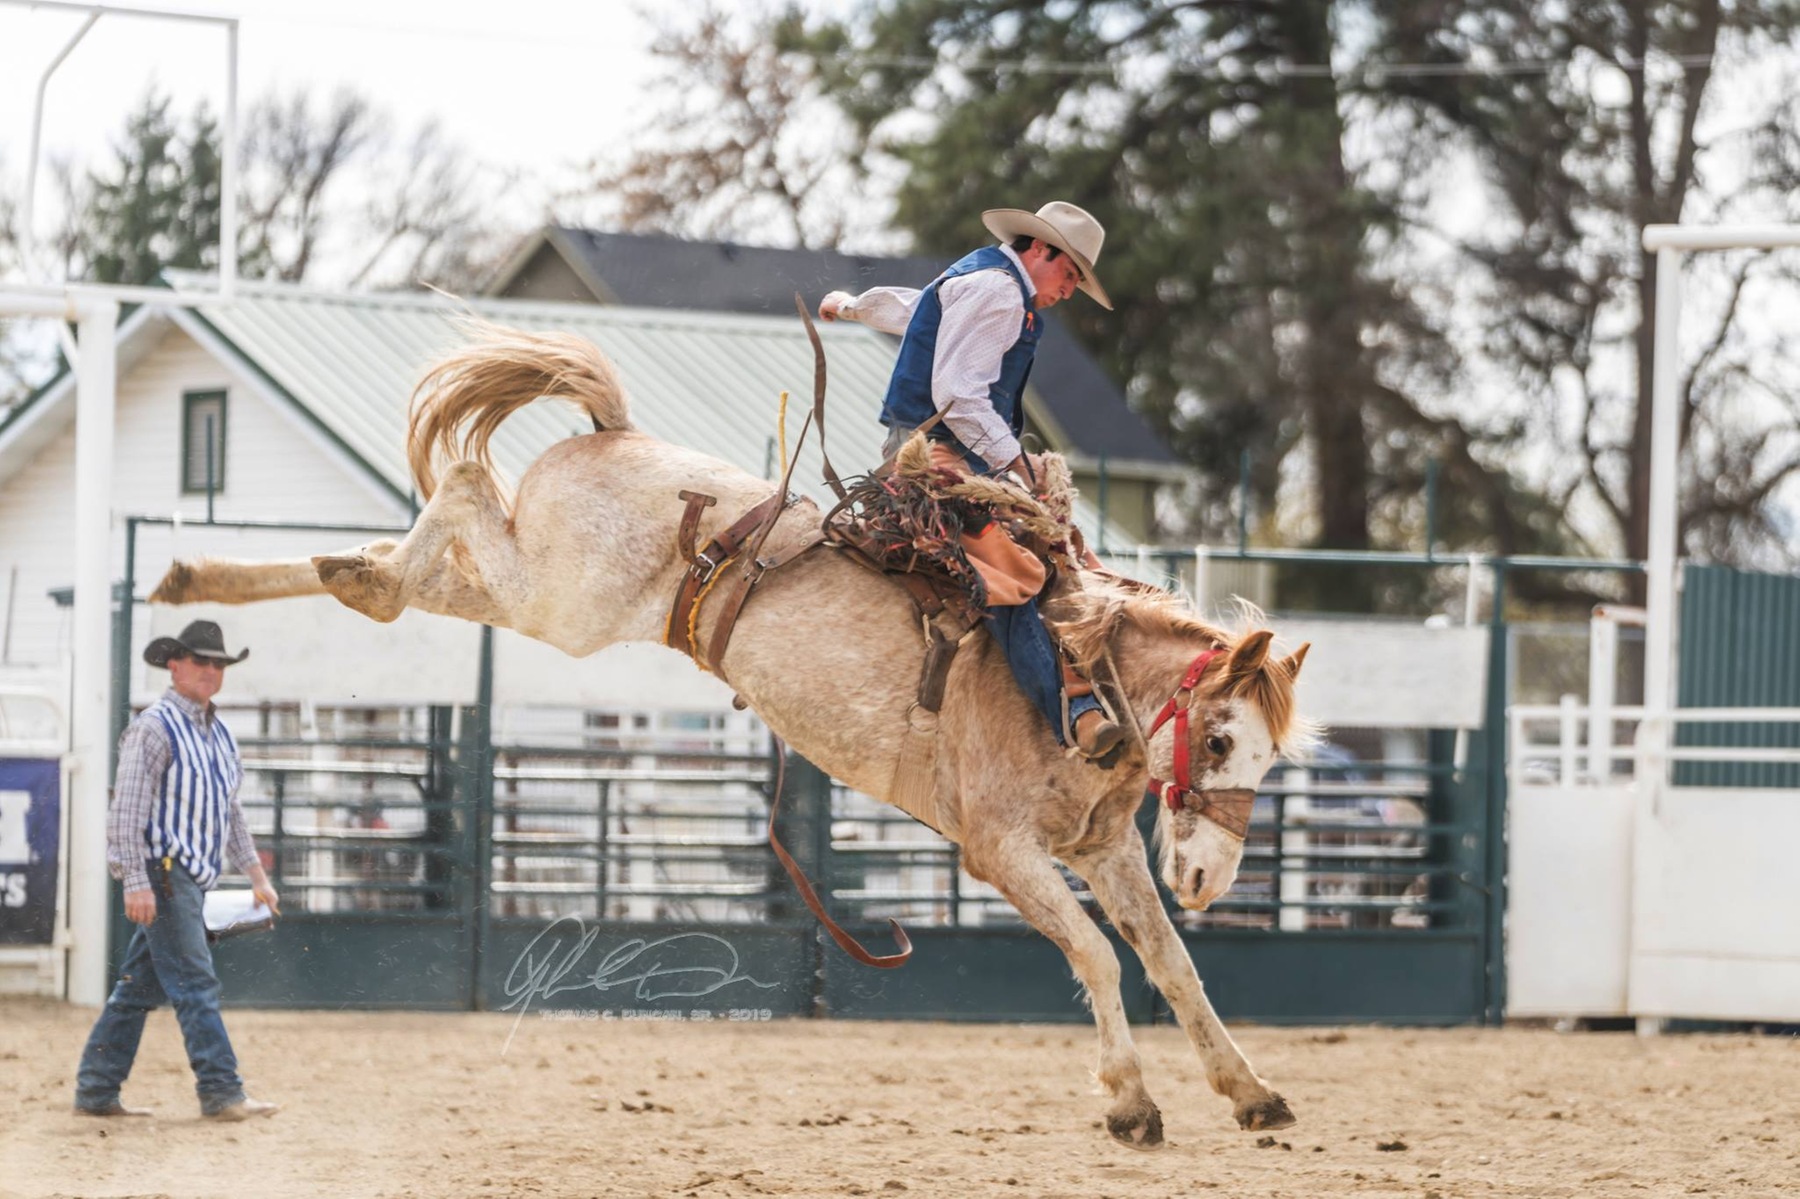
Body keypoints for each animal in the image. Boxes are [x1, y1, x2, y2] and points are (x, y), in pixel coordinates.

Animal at [151, 322, 1310, 1144]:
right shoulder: (1001, 849)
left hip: (542, 600)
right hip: (558, 597)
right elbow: (1101, 959)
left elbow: (1173, 966)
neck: (1071, 675)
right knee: (464, 493)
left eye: (1266, 757)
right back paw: (330, 563)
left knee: (421, 575)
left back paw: (253, 571)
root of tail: (618, 429)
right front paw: (1130, 1102)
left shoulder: (1105, 848)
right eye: (1219, 740)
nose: (1210, 876)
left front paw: (1250, 1090)